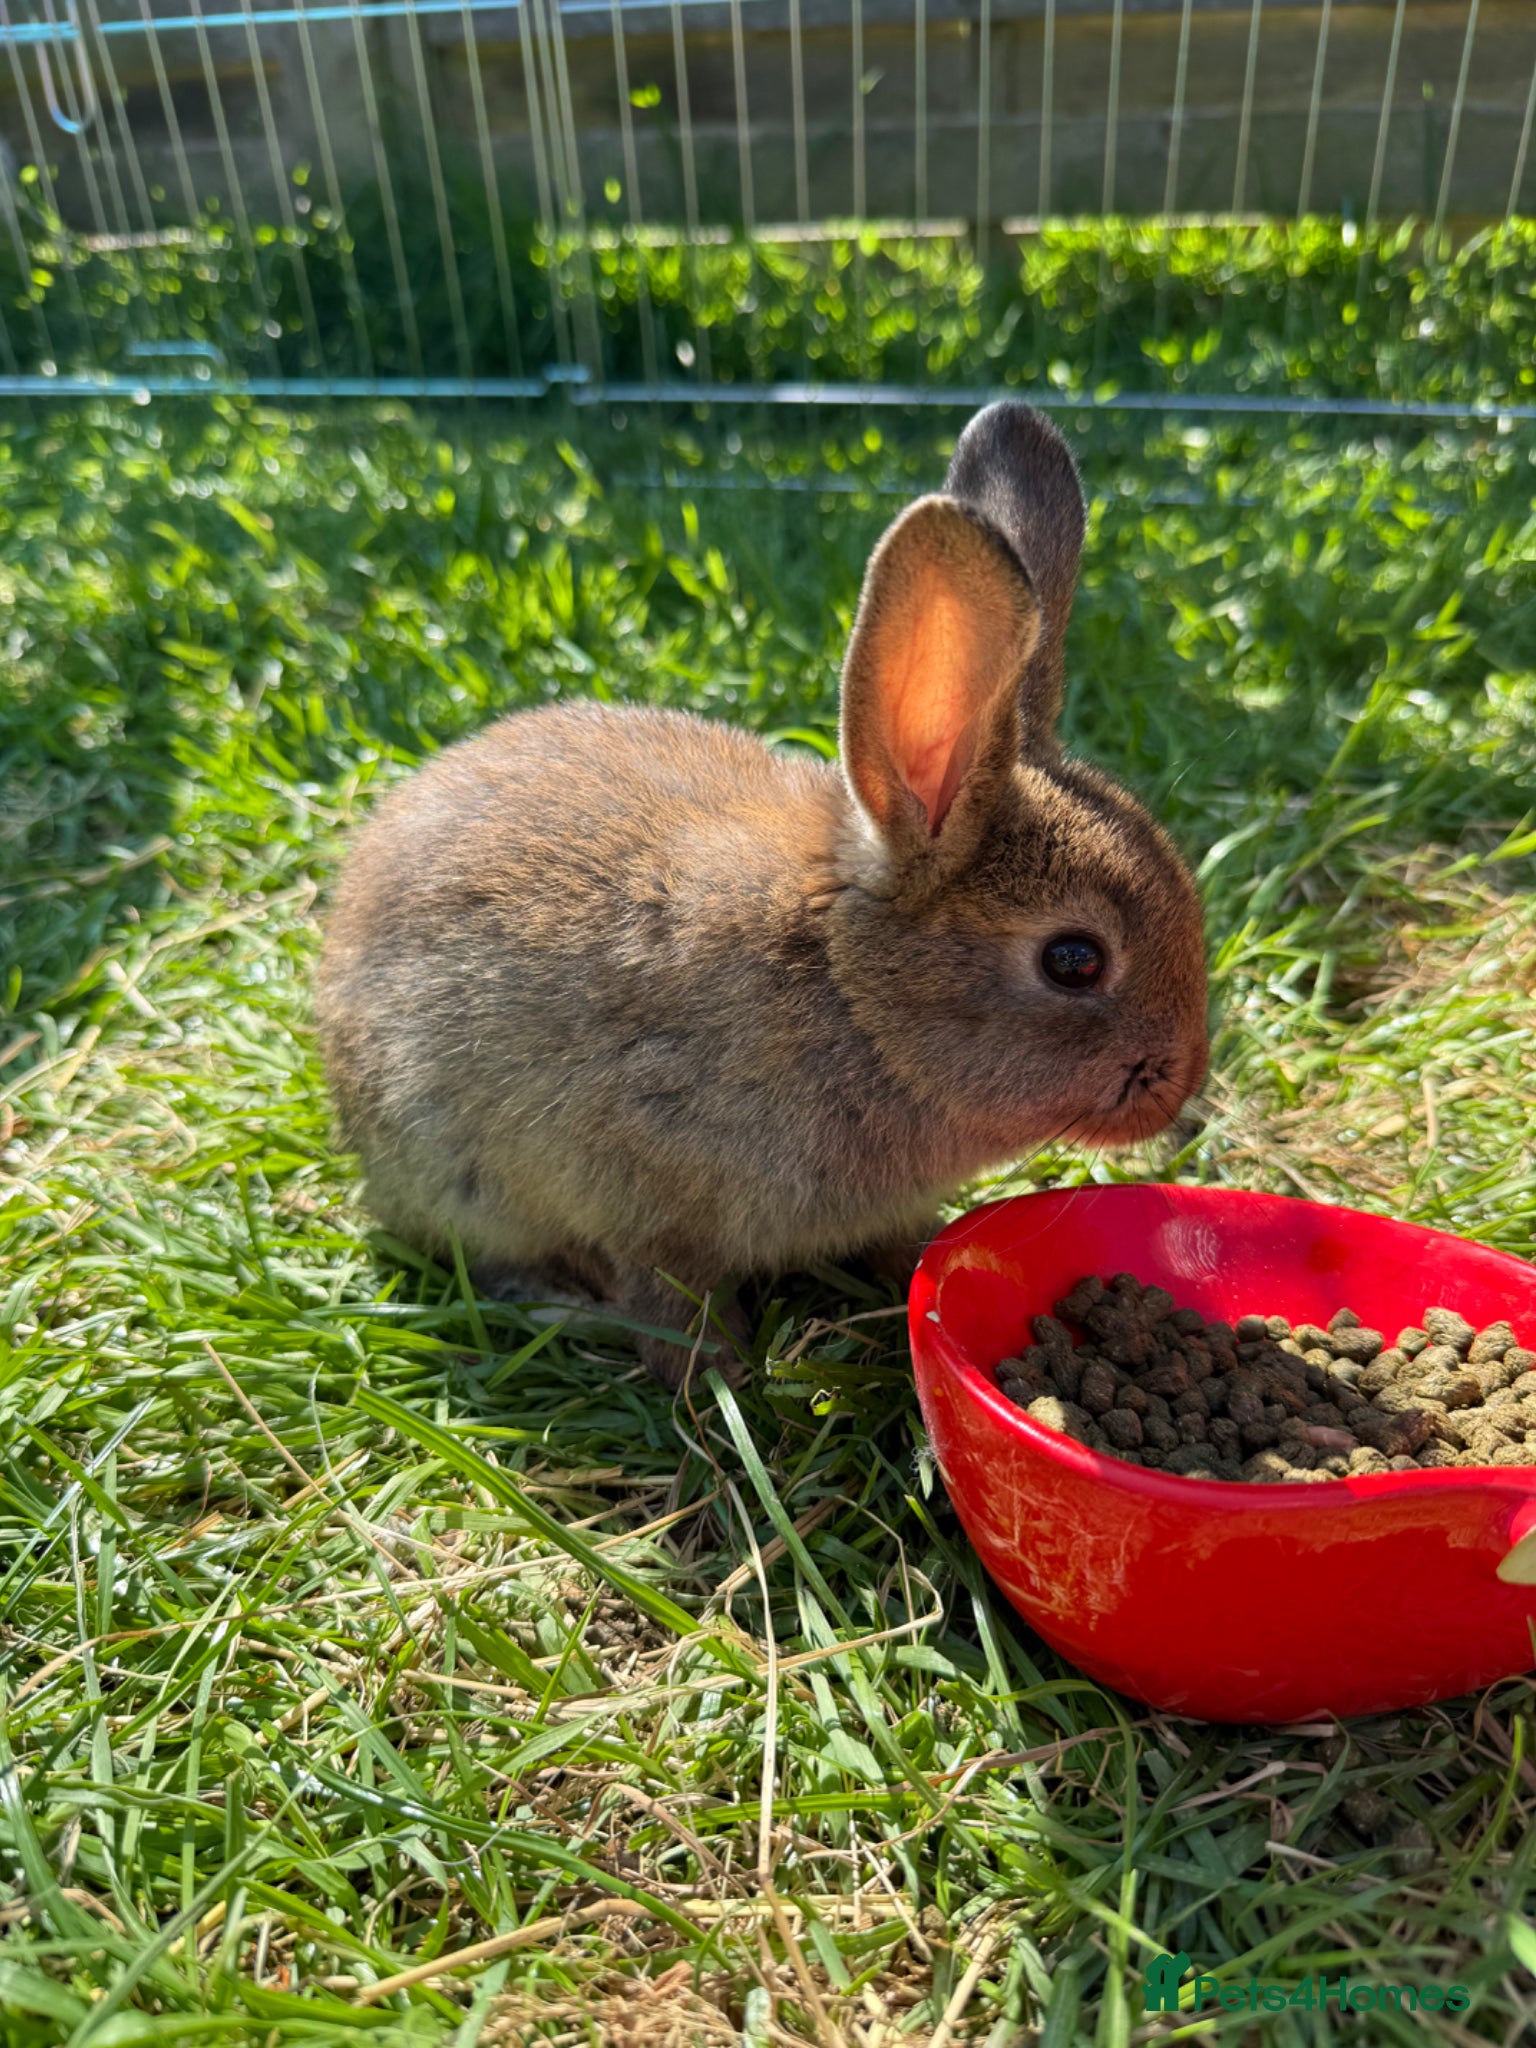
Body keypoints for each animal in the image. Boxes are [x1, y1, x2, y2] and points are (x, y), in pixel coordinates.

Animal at [316, 403, 1209, 1385]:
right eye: (1074, 960)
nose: (1180, 1086)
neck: (852, 995)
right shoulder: (646, 1201)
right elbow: (676, 1309)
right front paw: (722, 1384)